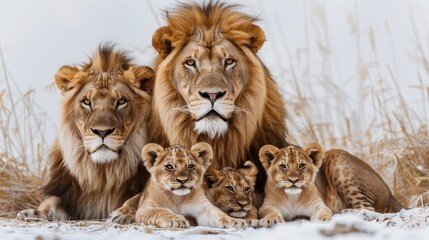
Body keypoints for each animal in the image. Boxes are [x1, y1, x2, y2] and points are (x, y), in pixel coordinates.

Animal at [19, 44, 155, 220]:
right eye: (86, 102)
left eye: (121, 101)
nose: (102, 132)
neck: (102, 174)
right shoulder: (69, 197)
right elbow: (51, 200)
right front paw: (35, 212)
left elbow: (139, 197)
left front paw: (123, 213)